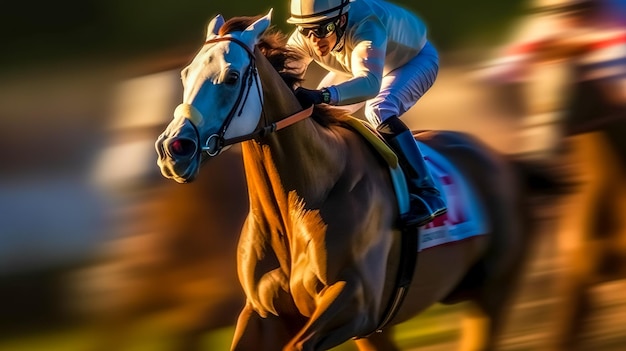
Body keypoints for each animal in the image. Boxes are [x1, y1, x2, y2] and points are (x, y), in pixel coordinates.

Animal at [155, 11, 540, 351]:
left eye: (232, 76)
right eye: (185, 74)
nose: (174, 148)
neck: (298, 204)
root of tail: (504, 160)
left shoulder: (354, 302)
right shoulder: (262, 314)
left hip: (491, 294)